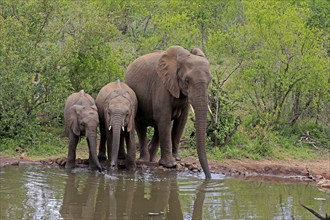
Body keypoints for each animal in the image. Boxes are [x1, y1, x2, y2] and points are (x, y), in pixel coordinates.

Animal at [125, 45, 213, 178]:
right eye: (187, 80)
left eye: (209, 81)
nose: (208, 177)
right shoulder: (161, 84)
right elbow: (164, 118)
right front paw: (170, 164)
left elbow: (181, 121)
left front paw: (177, 159)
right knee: (141, 127)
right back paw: (144, 160)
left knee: (158, 128)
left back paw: (152, 159)